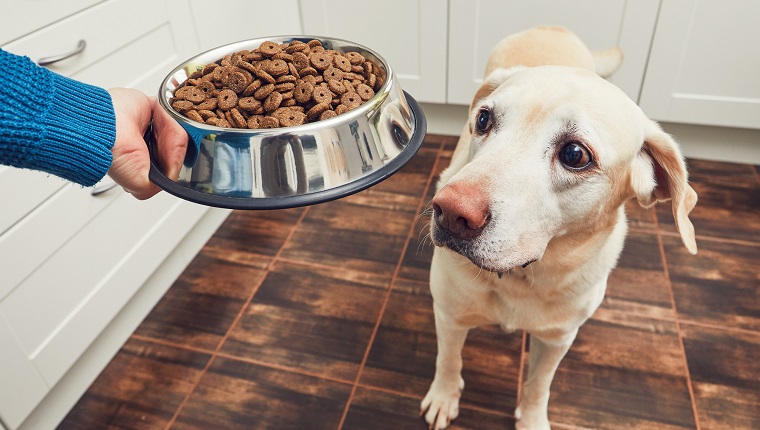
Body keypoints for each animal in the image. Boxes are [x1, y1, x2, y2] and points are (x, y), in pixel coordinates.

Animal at [418, 25, 696, 428]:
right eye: (484, 120)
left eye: (575, 155)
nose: (450, 212)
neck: (522, 278)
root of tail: (552, 27)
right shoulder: (449, 314)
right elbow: (448, 360)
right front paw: (443, 397)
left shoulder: (558, 339)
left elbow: (539, 385)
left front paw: (532, 419)